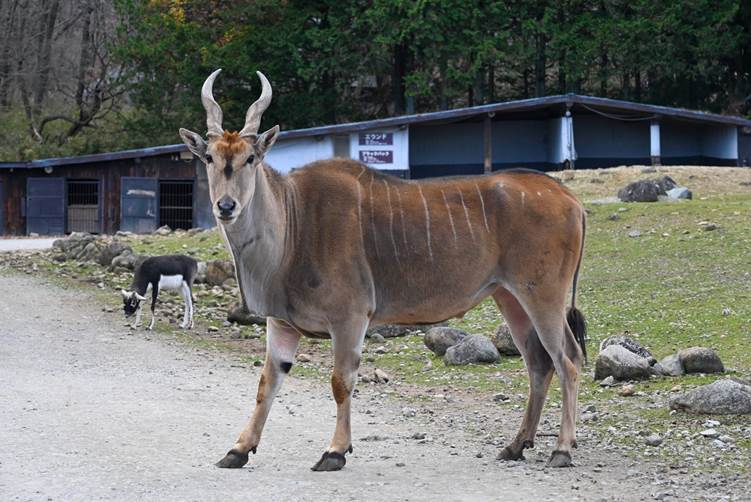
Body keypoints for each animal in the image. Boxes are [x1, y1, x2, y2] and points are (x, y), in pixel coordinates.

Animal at [181, 69, 588, 470]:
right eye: (209, 158)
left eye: (251, 158)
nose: (226, 206)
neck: (293, 222)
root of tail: (570, 198)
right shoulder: (282, 323)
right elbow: (267, 381)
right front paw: (238, 449)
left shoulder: (349, 317)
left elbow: (341, 381)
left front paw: (335, 451)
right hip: (510, 296)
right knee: (539, 363)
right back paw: (516, 445)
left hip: (543, 295)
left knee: (568, 359)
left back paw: (562, 449)